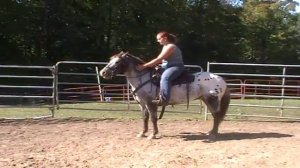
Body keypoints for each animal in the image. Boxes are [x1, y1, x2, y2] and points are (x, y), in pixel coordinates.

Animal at [99, 51, 231, 140]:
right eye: (110, 60)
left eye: (117, 62)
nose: (103, 72)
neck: (143, 79)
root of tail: (221, 79)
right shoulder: (142, 104)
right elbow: (145, 118)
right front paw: (142, 133)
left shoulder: (150, 103)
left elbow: (153, 118)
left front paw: (153, 135)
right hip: (206, 100)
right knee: (216, 116)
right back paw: (211, 132)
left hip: (212, 100)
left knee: (216, 115)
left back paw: (213, 134)